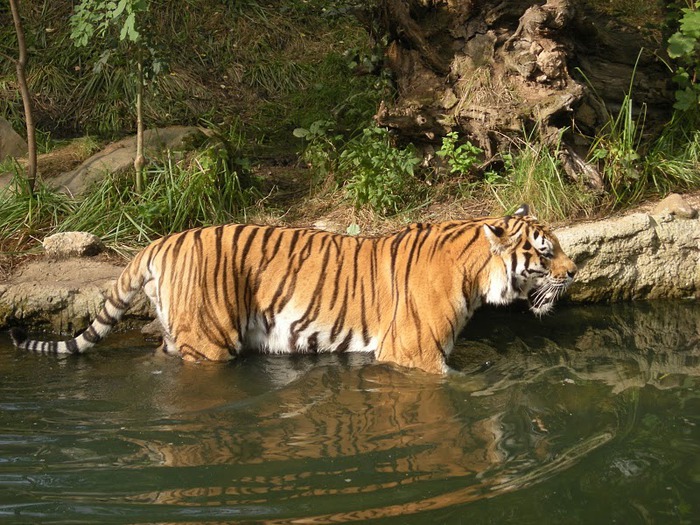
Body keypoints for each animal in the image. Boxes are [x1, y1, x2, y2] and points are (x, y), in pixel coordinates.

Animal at [10, 202, 576, 372]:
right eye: (545, 252)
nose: (574, 273)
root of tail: (159, 242)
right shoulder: (413, 356)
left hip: (177, 336)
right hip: (208, 341)